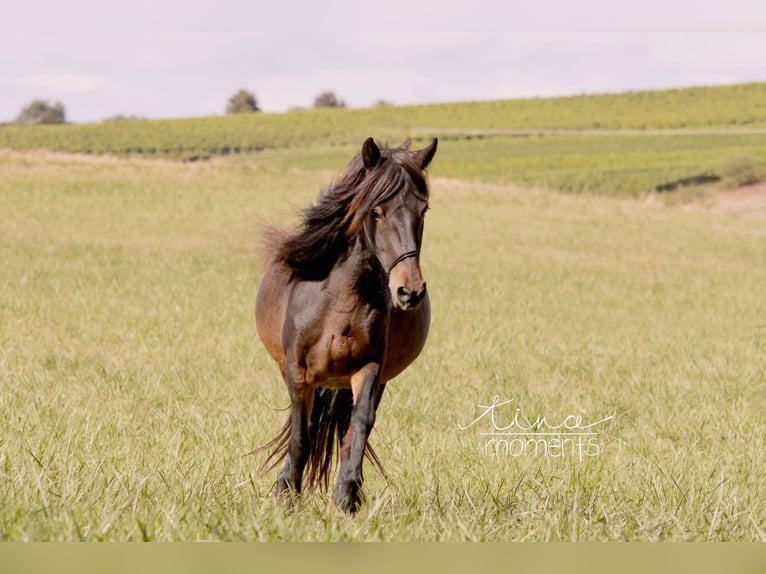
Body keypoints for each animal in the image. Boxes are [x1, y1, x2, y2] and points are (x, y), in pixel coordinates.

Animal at [255, 136, 440, 512]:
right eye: (376, 212)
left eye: (423, 210)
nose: (410, 291)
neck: (339, 301)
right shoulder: (298, 373)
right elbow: (300, 436)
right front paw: (288, 499)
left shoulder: (369, 369)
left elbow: (358, 427)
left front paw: (345, 498)